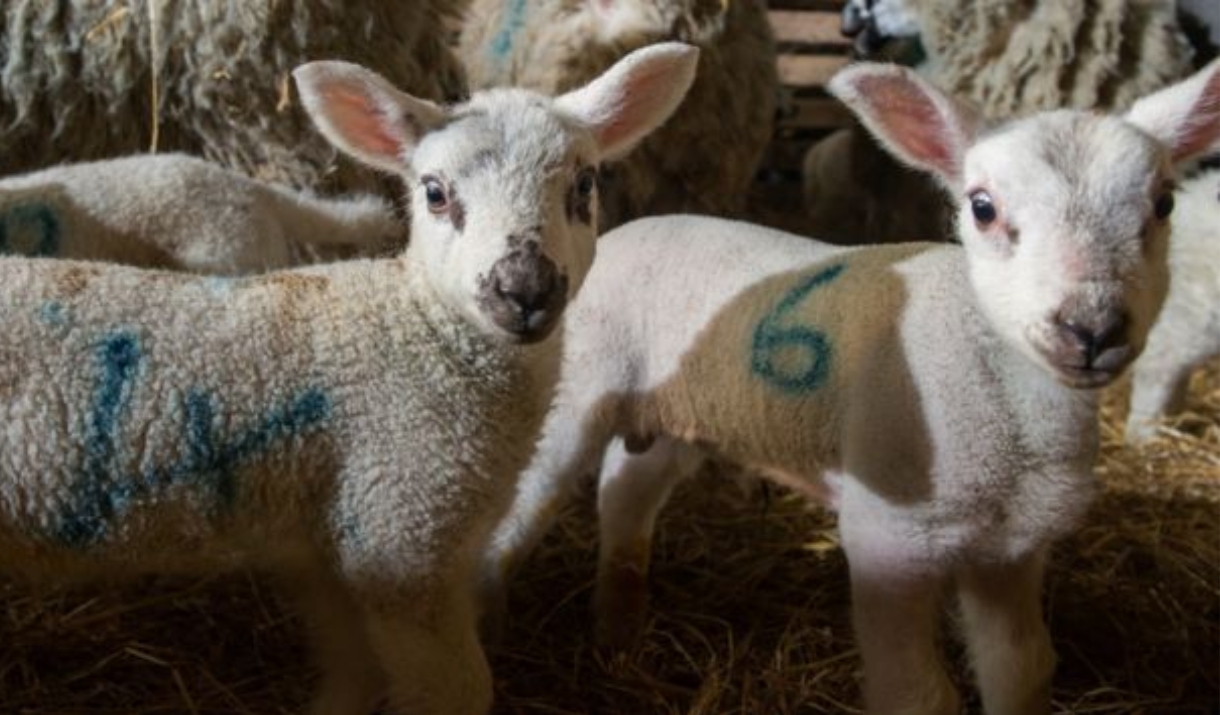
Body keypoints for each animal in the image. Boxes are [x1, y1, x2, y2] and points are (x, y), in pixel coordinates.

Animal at [0, 41, 697, 707]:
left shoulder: (335, 554)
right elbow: (459, 690)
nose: (525, 290)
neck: (423, 335)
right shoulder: (403, 541)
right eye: (435, 192)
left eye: (583, 186)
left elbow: (352, 677)